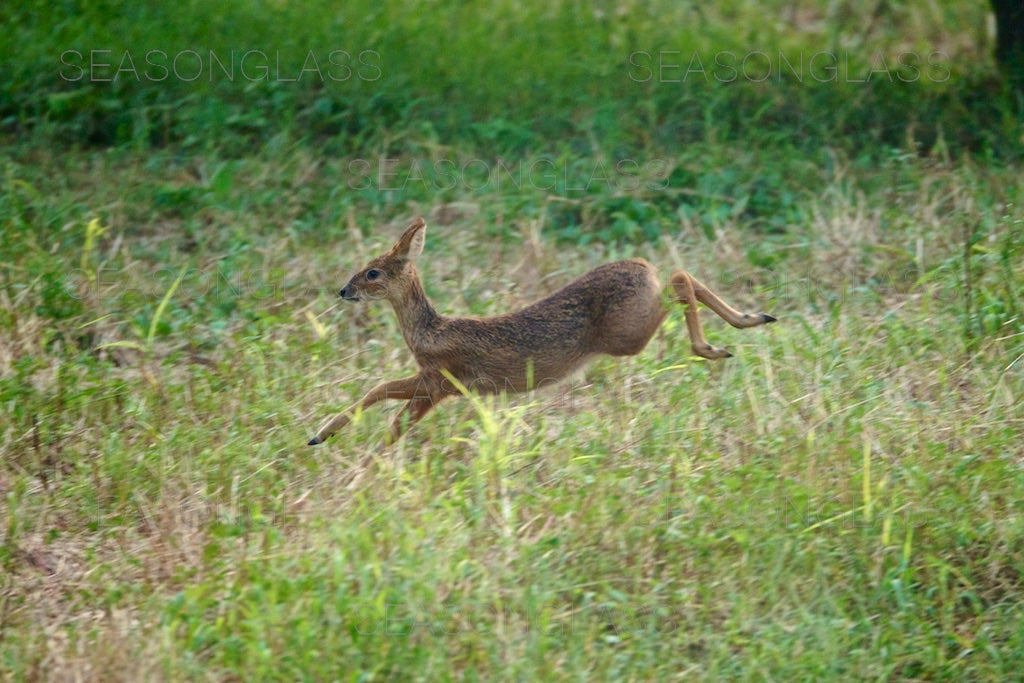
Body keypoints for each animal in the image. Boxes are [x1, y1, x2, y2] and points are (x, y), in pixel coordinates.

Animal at [307, 216, 770, 446]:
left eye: (373, 272)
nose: (344, 290)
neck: (431, 330)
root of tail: (642, 266)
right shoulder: (439, 383)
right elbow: (383, 395)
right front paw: (324, 437)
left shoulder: (439, 380)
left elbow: (390, 407)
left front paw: (358, 453)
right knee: (683, 278)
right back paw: (753, 320)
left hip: (628, 333)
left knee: (680, 278)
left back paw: (716, 344)